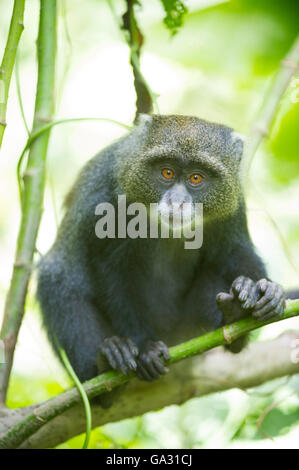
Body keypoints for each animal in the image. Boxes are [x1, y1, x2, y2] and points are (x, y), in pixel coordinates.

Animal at [37, 114, 286, 386]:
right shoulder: (107, 199)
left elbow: (235, 253)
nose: (177, 202)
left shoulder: (232, 205)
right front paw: (144, 347)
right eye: (167, 172)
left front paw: (264, 291)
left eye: (196, 178)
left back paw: (234, 319)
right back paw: (104, 365)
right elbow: (113, 276)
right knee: (59, 283)